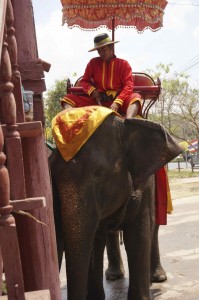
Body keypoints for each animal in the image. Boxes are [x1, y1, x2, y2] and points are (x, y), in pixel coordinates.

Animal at [49, 112, 182, 300]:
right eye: (52, 175)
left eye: (99, 174)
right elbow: (96, 238)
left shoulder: (145, 183)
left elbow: (138, 234)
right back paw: (113, 276)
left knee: (153, 228)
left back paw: (157, 278)